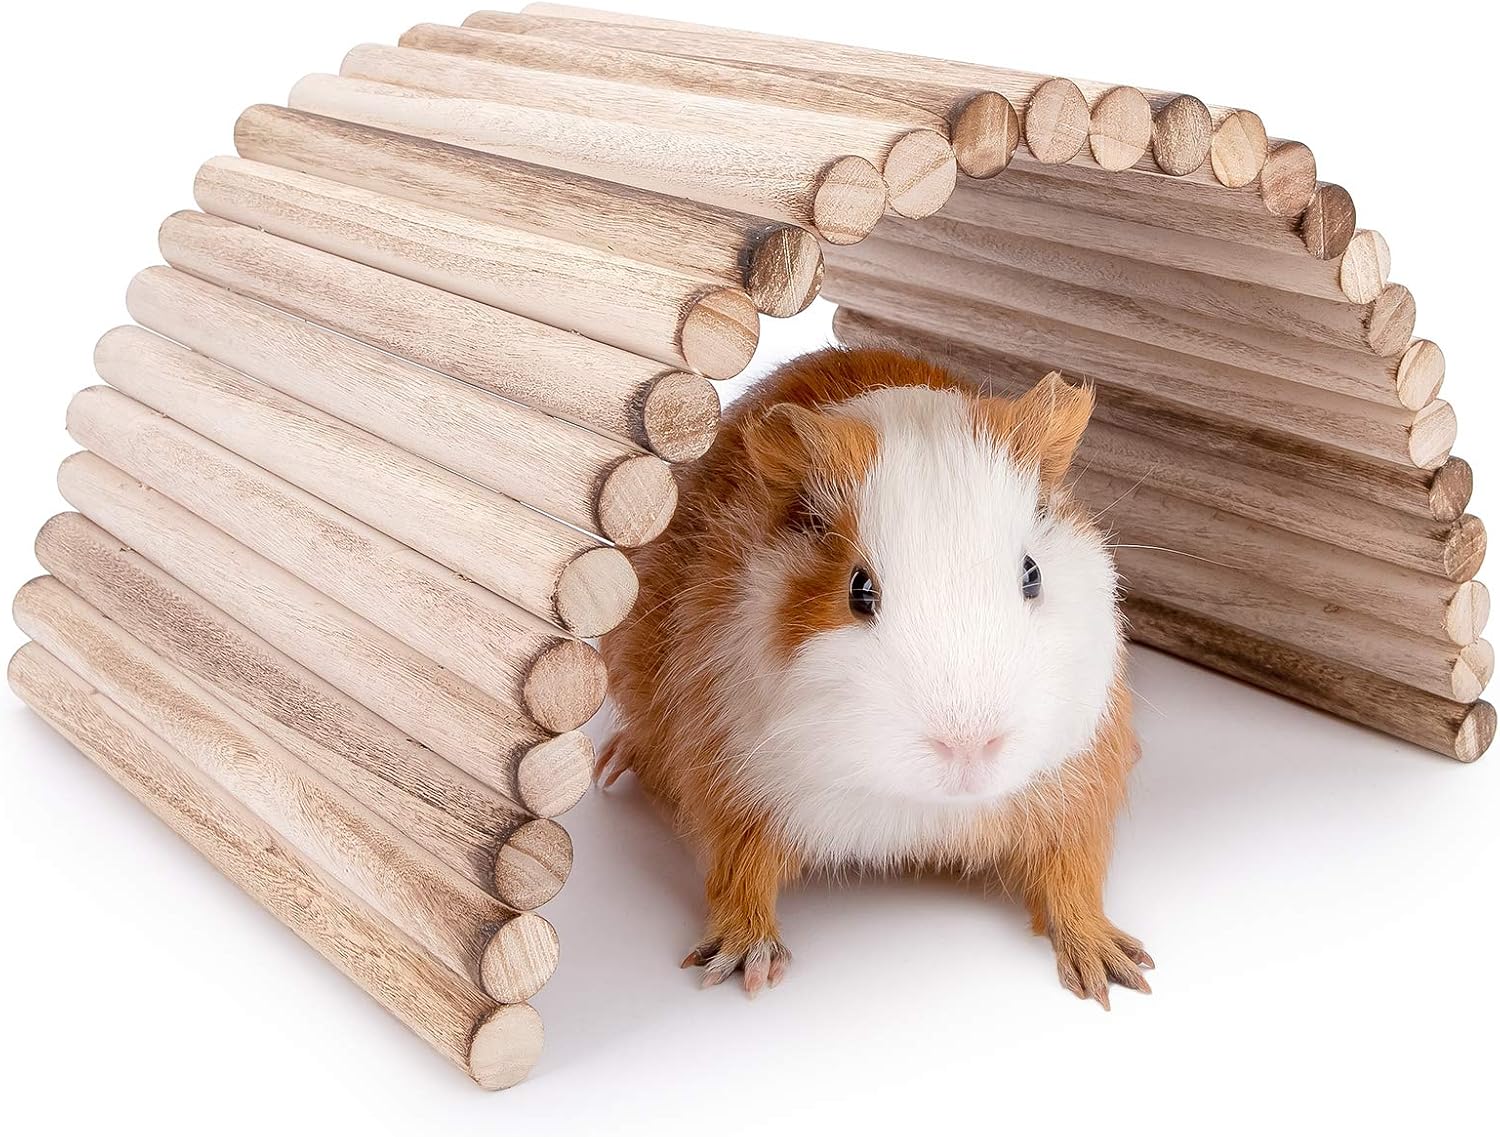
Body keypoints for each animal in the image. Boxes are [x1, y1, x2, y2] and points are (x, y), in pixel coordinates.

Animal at [599, 346, 1149, 1006]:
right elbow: (739, 870)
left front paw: (1114, 971)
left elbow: (1074, 871)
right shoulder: (730, 779)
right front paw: (746, 966)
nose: (969, 748)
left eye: (1032, 574)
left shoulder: (1082, 780)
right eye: (859, 590)